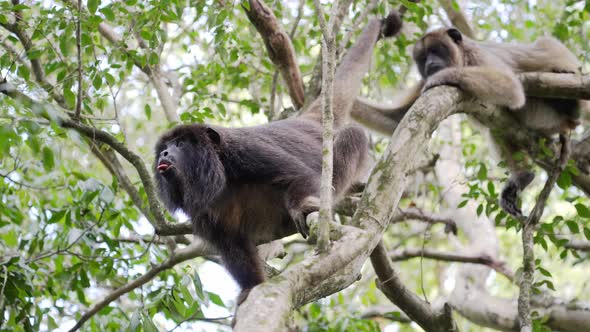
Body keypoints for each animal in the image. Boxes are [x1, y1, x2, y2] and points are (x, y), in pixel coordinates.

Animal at [354, 27, 588, 218]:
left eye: (437, 50)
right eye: (422, 58)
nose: (429, 64)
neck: (463, 57)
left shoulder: (478, 55)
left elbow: (510, 86)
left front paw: (443, 76)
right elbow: (396, 120)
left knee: (545, 47)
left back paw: (570, 99)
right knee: (498, 129)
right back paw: (523, 176)